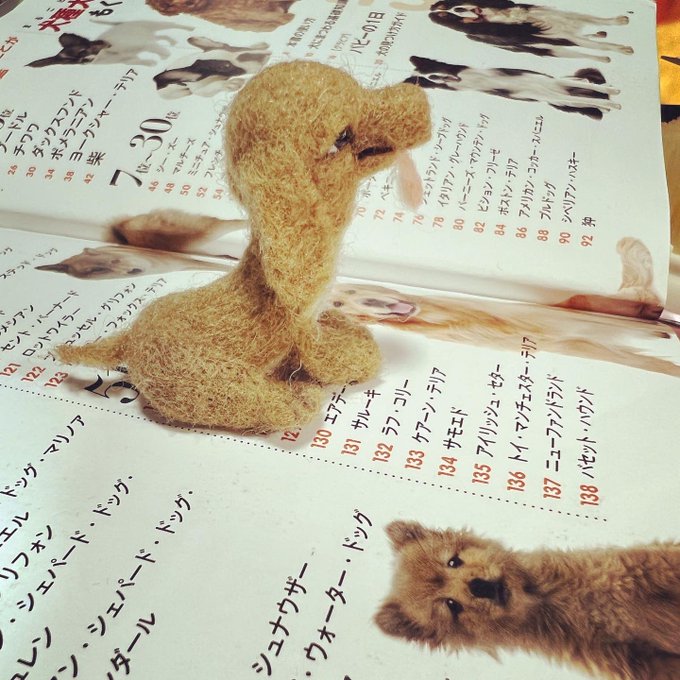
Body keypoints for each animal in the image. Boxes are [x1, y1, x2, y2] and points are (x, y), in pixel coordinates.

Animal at [27, 20, 191, 68]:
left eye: (82, 52)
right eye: (71, 63)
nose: (84, 61)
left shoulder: (143, 43)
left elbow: (155, 48)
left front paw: (165, 56)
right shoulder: (128, 59)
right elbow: (137, 61)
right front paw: (150, 63)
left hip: (153, 25)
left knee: (170, 26)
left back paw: (189, 28)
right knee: (161, 36)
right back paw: (171, 41)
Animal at [406, 56, 620, 119]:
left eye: (432, 73)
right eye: (428, 80)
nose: (436, 78)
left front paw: (613, 92)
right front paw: (612, 103)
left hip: (558, 85)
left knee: (582, 82)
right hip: (560, 99)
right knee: (583, 97)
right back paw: (604, 104)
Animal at [429, 0, 633, 62]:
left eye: (449, 7)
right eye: (448, 16)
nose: (460, 9)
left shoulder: (563, 18)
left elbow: (596, 20)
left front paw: (619, 20)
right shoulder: (559, 37)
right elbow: (598, 46)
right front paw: (621, 49)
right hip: (547, 48)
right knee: (578, 54)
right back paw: (603, 59)